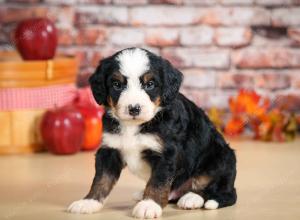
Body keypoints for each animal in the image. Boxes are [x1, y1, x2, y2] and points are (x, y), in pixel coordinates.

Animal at [67, 47, 237, 218]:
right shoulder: (109, 149)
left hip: (220, 159)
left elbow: (158, 182)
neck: (134, 125)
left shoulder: (165, 154)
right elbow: (101, 179)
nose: (134, 108)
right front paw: (89, 202)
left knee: (220, 190)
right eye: (117, 84)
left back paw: (192, 198)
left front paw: (149, 205)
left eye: (150, 84)